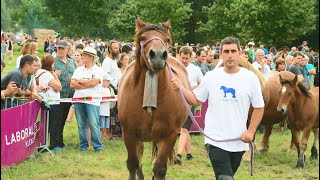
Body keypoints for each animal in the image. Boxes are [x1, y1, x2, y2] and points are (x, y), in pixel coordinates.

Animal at [119, 18, 190, 180]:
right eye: (143, 38)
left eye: (167, 39)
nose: (158, 56)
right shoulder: (129, 134)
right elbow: (132, 165)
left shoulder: (169, 136)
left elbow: (160, 169)